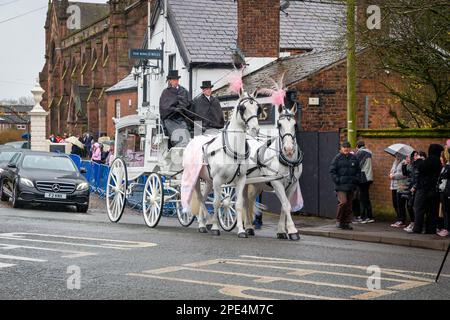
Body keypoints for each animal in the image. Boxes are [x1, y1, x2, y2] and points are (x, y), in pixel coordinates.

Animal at [183, 87, 260, 238]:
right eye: (243, 108)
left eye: (257, 107)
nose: (255, 129)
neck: (233, 150)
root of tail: (192, 140)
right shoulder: (218, 180)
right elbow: (217, 202)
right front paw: (214, 227)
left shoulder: (241, 179)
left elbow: (238, 204)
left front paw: (241, 230)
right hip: (195, 178)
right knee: (200, 198)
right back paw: (206, 222)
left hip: (208, 180)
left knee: (204, 197)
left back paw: (202, 223)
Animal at [243, 104, 302, 241]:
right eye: (279, 124)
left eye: (295, 124)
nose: (289, 149)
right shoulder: (277, 183)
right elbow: (286, 205)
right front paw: (293, 230)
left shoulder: (292, 185)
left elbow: (284, 206)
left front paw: (281, 231)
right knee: (244, 202)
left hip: (257, 184)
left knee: (249, 200)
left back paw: (249, 227)